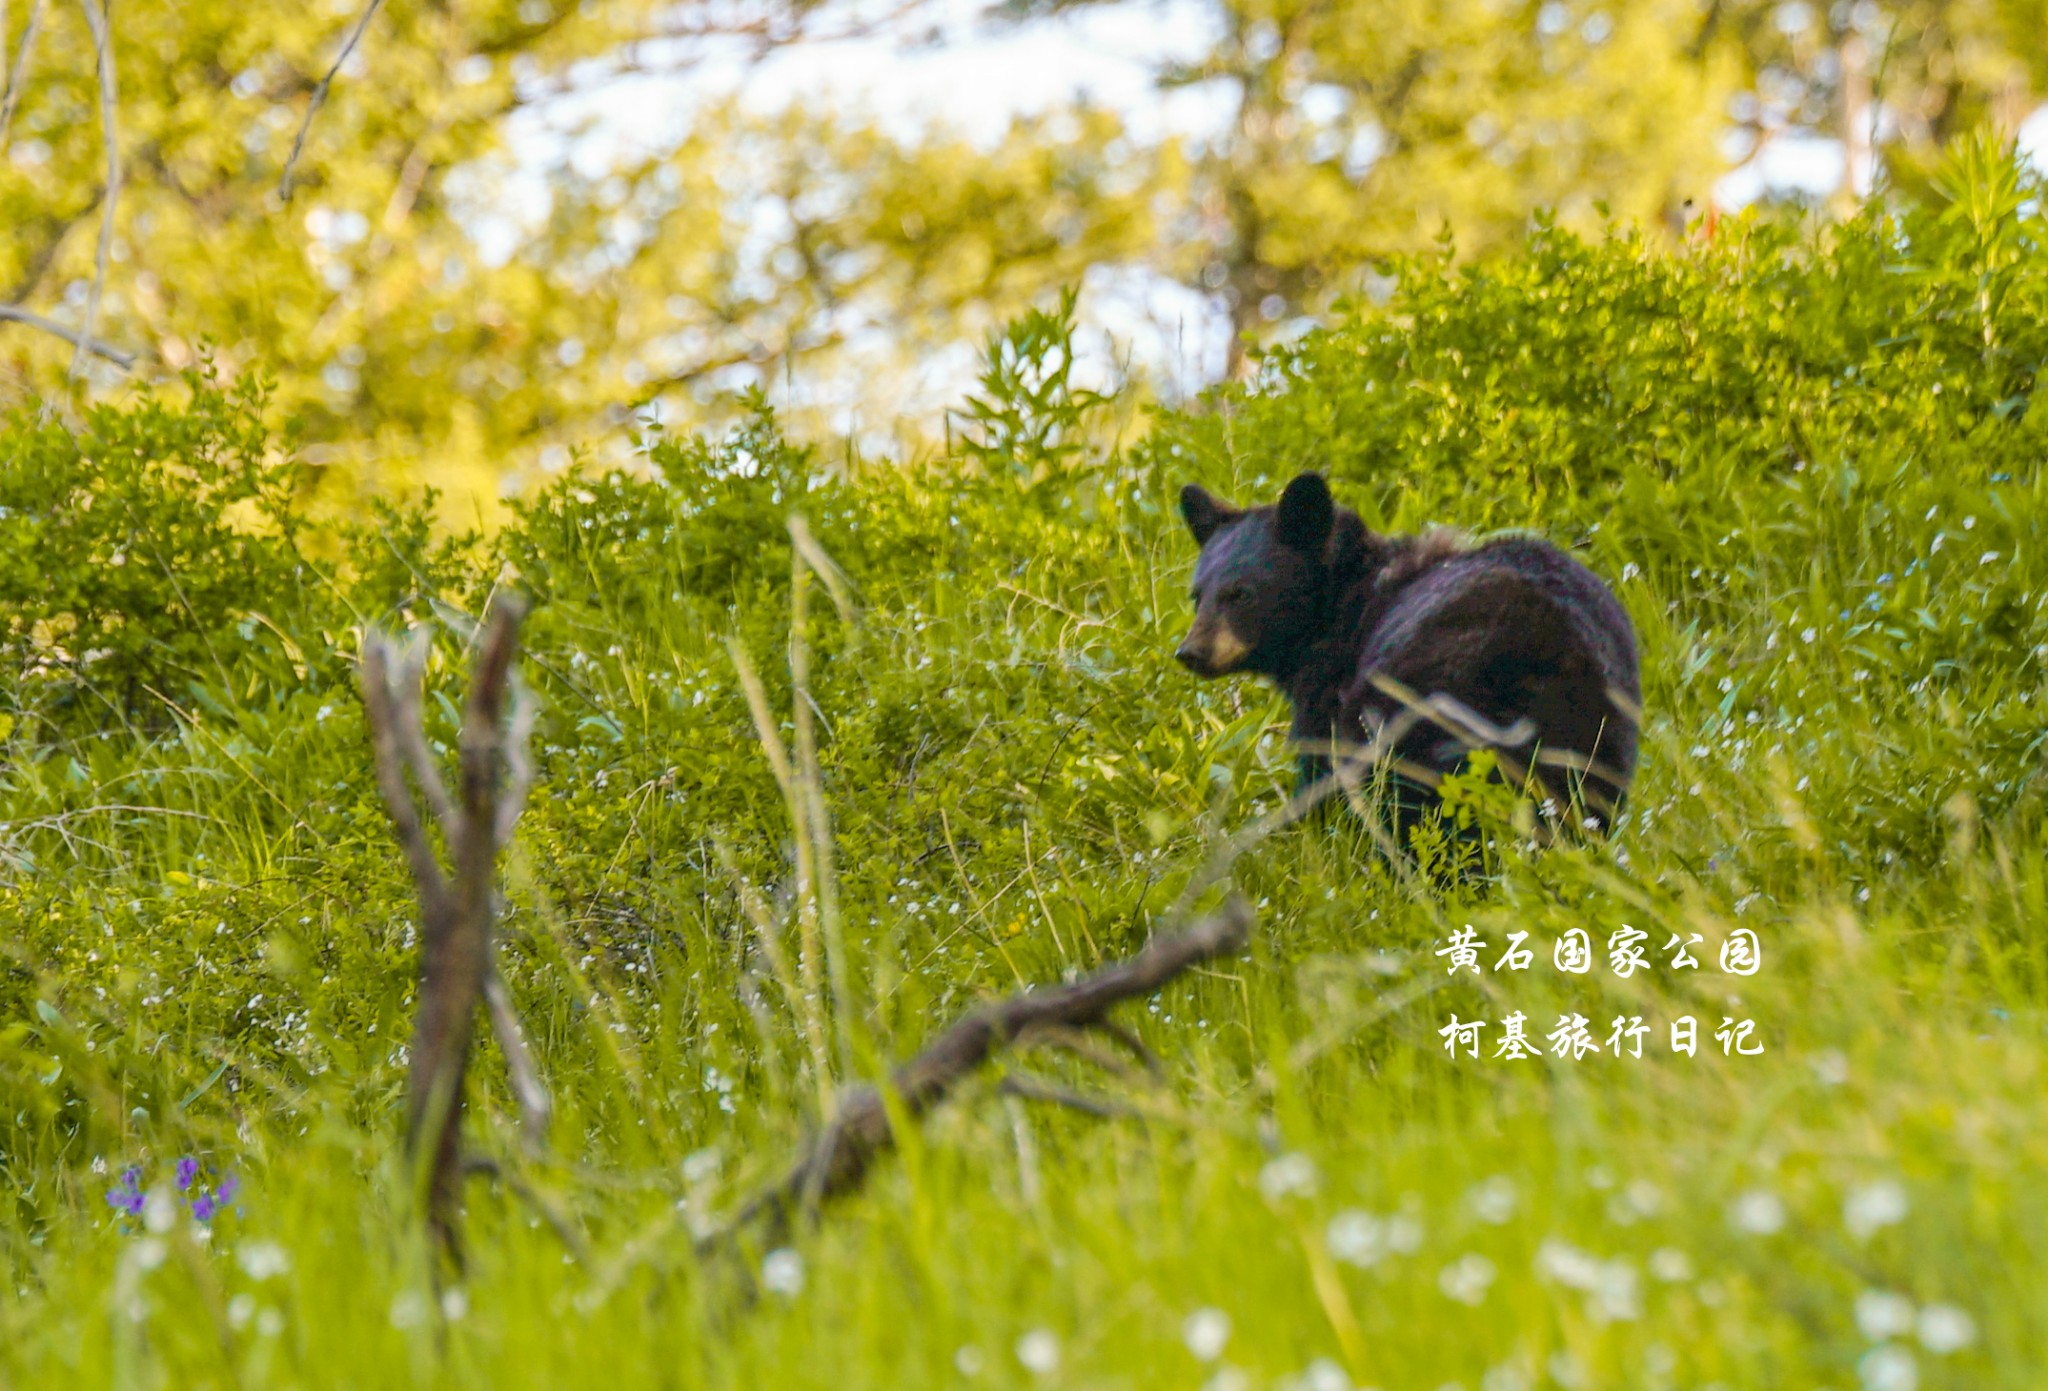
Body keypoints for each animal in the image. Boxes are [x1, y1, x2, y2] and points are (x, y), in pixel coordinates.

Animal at [1179, 473, 1638, 831]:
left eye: (1240, 593)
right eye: (1197, 595)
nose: (1191, 652)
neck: (1341, 602)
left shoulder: (1330, 688)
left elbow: (1321, 764)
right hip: (1598, 726)